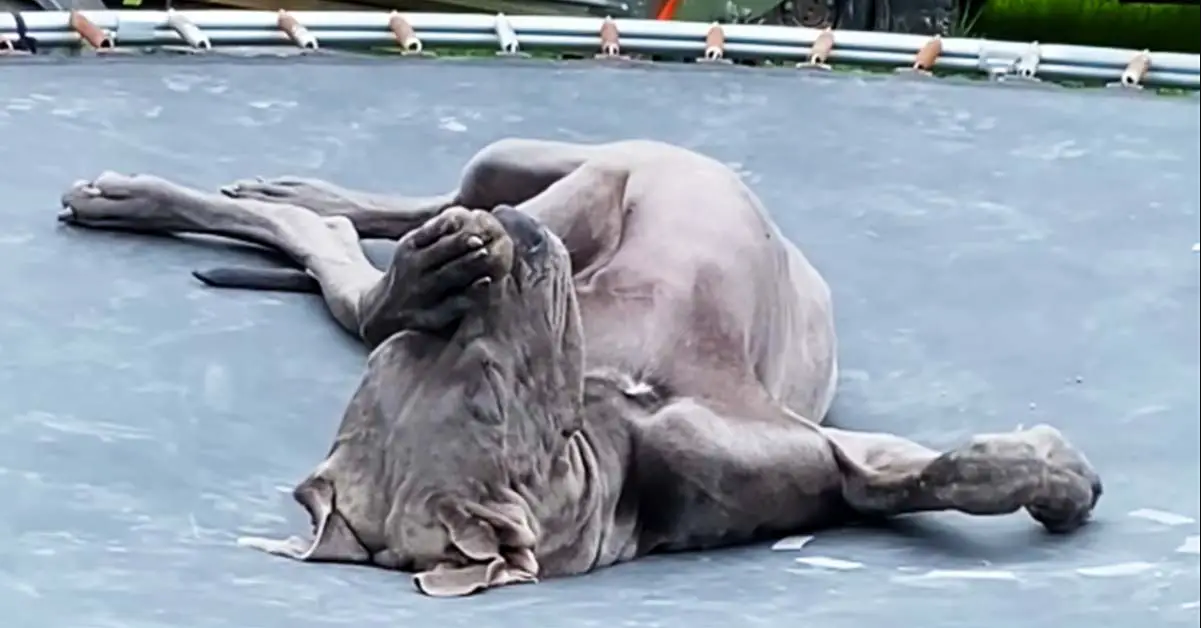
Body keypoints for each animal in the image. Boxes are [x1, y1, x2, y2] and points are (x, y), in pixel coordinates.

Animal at [60, 138, 1100, 600]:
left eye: (438, 351)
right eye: (489, 383)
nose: (510, 245)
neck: (615, 435)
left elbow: (930, 467)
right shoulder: (822, 456)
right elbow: (949, 471)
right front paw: (1056, 473)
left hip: (532, 164)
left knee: (386, 226)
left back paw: (337, 212)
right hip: (558, 172)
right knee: (352, 265)